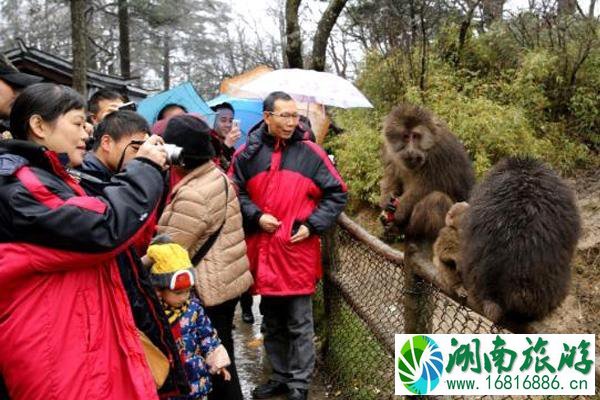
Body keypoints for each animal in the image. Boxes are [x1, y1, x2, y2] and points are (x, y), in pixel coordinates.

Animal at [382, 104, 476, 241]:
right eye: (406, 136)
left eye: (415, 136)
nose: (410, 151)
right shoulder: (390, 150)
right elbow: (391, 176)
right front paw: (385, 201)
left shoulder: (440, 153)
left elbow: (426, 187)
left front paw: (400, 210)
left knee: (437, 199)